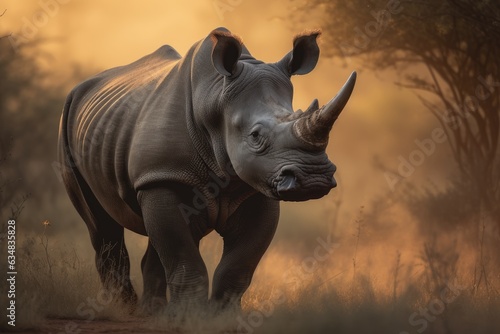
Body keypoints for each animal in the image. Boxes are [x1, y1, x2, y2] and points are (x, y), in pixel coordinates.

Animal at [57, 26, 356, 314]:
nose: (314, 178)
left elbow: (238, 264)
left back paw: (150, 312)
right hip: (68, 125)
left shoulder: (258, 185)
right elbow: (183, 256)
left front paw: (222, 317)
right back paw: (125, 309)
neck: (215, 100)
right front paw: (189, 316)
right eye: (255, 136)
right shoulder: (163, 176)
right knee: (101, 226)